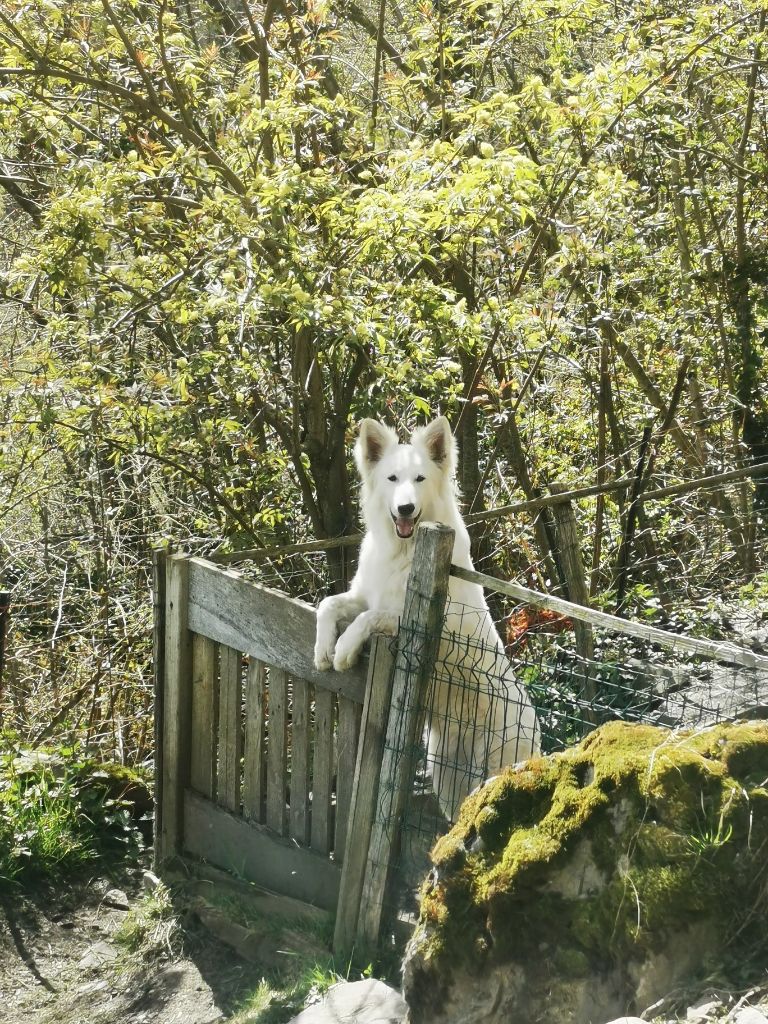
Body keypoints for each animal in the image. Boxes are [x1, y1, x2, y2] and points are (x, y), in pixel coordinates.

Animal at [313, 411, 540, 819]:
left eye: (419, 479)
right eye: (392, 479)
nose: (405, 508)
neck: (404, 551)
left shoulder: (429, 624)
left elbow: (369, 619)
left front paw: (344, 650)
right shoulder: (363, 595)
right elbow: (329, 604)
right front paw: (323, 649)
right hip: (445, 775)